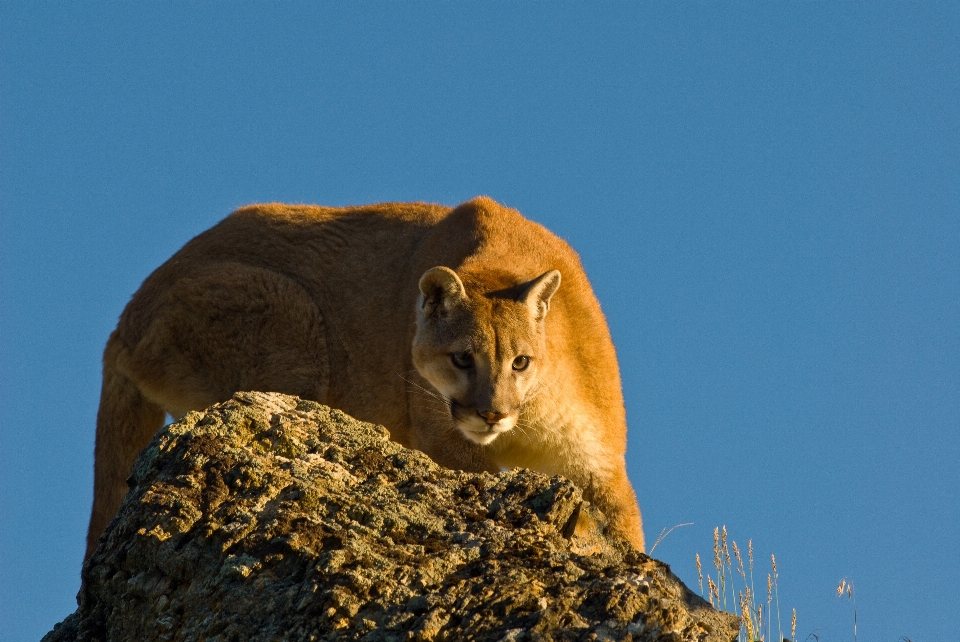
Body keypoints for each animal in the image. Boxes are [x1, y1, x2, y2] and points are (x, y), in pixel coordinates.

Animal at [86, 195, 644, 556]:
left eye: (520, 362)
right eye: (462, 359)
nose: (491, 413)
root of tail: (123, 322)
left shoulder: (598, 460)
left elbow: (628, 531)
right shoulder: (444, 437)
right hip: (294, 331)